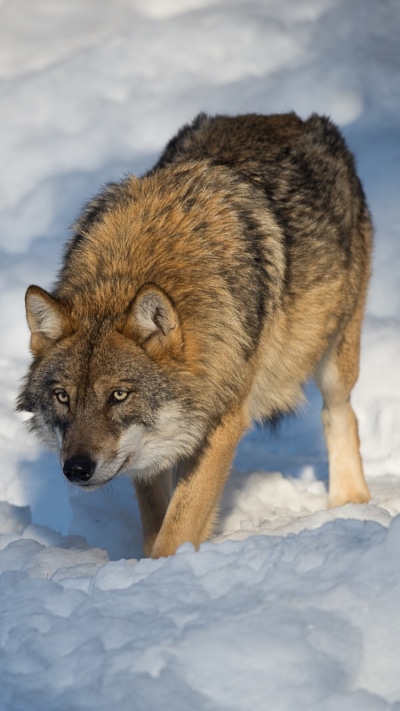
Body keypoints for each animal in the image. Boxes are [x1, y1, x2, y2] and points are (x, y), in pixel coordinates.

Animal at [18, 112, 372, 558]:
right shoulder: (148, 450)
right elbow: (156, 517)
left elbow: (179, 523)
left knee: (340, 413)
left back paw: (349, 504)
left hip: (334, 357)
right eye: (63, 396)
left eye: (119, 395)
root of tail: (288, 116)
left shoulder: (222, 422)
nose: (76, 468)